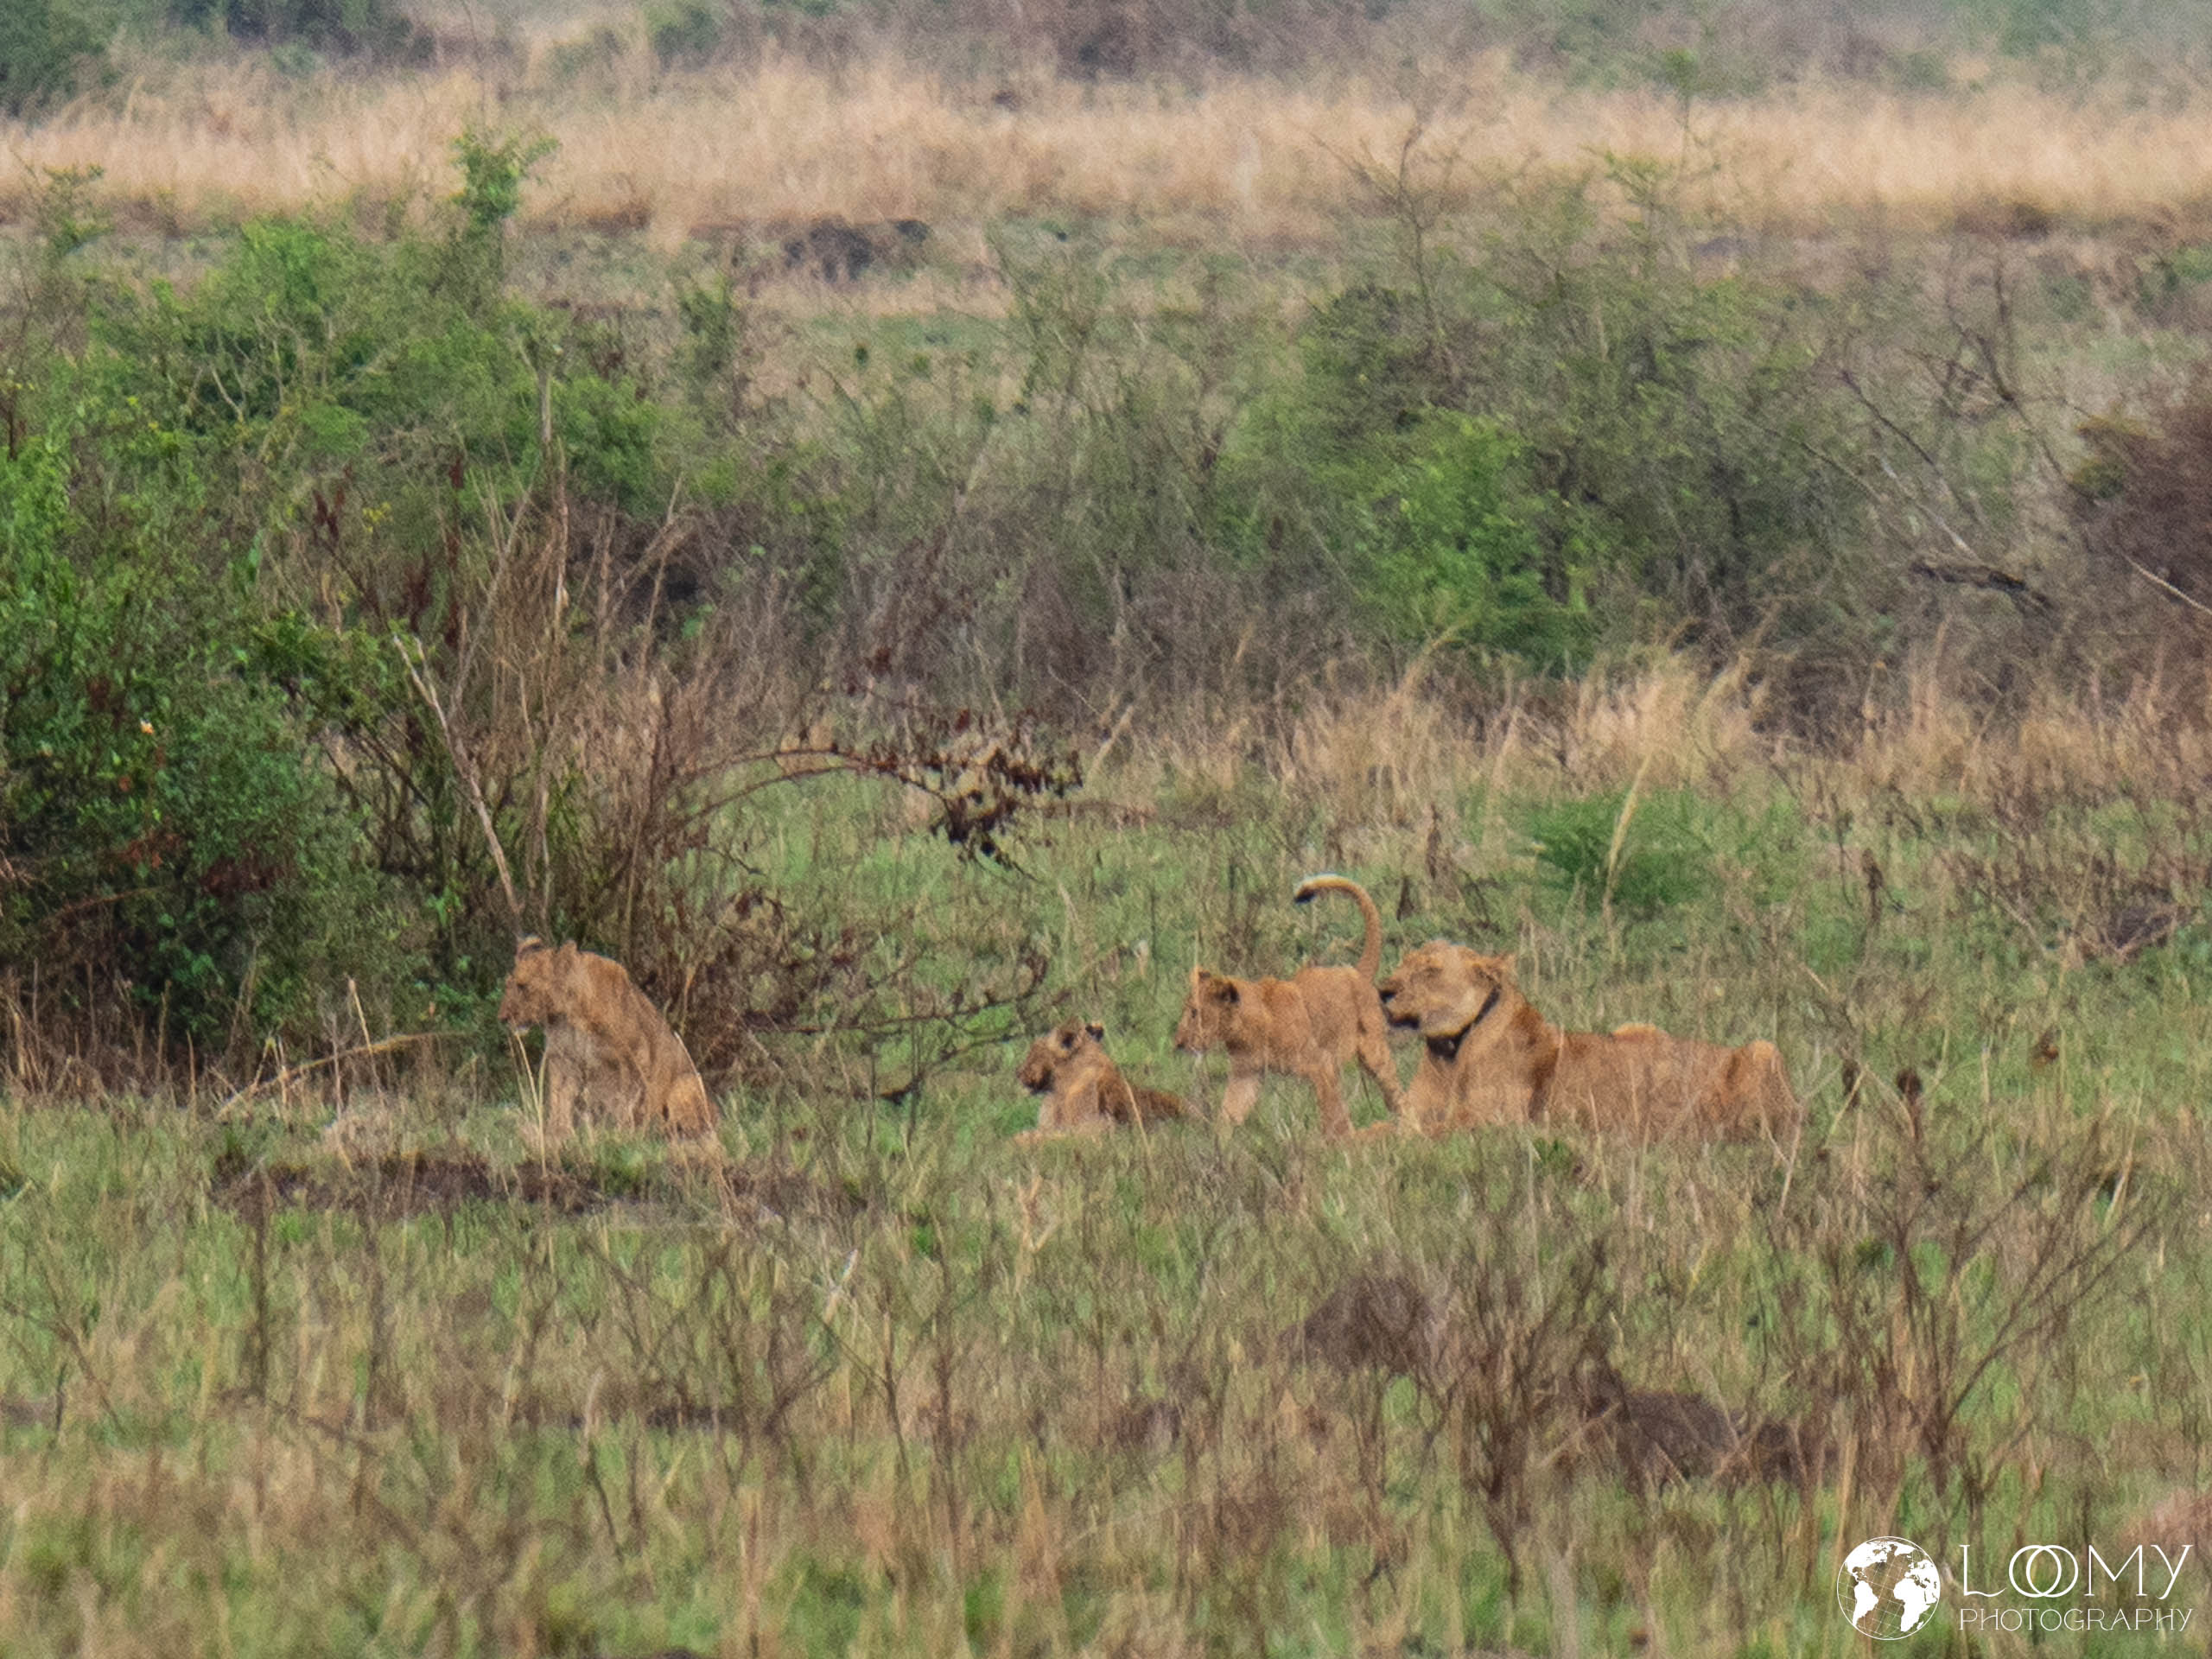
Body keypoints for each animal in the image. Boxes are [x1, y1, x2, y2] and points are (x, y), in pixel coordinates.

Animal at [497, 937, 718, 1143]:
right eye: (508, 985)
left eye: (523, 987)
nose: (503, 1018)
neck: (569, 1016)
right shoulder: (564, 1059)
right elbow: (559, 1098)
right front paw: (557, 1134)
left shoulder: (634, 1057)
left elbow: (628, 1102)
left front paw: (624, 1135)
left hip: (687, 1081)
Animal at [1172, 875, 1407, 1139]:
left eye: (1195, 1013)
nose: (1178, 1042)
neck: (1246, 1031)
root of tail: (1354, 972)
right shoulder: (1246, 1074)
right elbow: (1229, 1114)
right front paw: (1218, 1144)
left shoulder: (1322, 1064)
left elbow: (1333, 1115)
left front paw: (1340, 1143)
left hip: (1374, 1052)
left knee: (1398, 1096)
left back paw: (1409, 1130)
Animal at [1374, 941, 1797, 1140]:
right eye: (1403, 962)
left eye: (1430, 971)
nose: (1383, 991)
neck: (1450, 1053)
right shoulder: (1414, 1111)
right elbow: (1380, 1128)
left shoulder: (1494, 1120)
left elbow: (1414, 1135)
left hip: (1763, 1051)